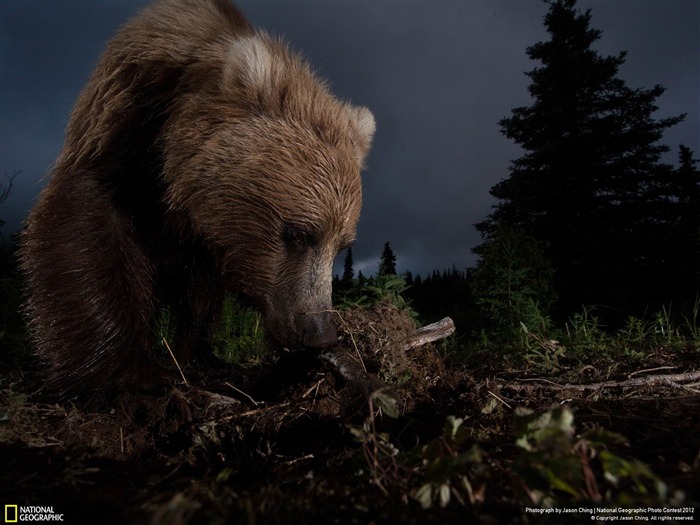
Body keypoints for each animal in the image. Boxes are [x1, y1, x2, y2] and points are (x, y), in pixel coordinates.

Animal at [20, 0, 372, 396]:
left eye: (342, 246)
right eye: (298, 233)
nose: (319, 332)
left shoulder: (207, 236)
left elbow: (201, 294)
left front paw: (203, 358)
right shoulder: (121, 133)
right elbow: (86, 237)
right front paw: (130, 373)